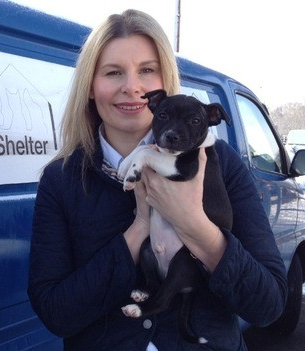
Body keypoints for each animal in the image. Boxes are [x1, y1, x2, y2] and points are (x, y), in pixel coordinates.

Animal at [117, 89, 232, 346]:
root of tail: (192, 288)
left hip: (183, 261)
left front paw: (133, 171)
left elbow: (147, 150)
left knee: (163, 301)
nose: (171, 136)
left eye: (196, 121)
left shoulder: (184, 169)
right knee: (155, 284)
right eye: (162, 115)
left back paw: (136, 310)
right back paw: (141, 292)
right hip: (147, 249)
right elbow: (144, 148)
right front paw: (125, 166)